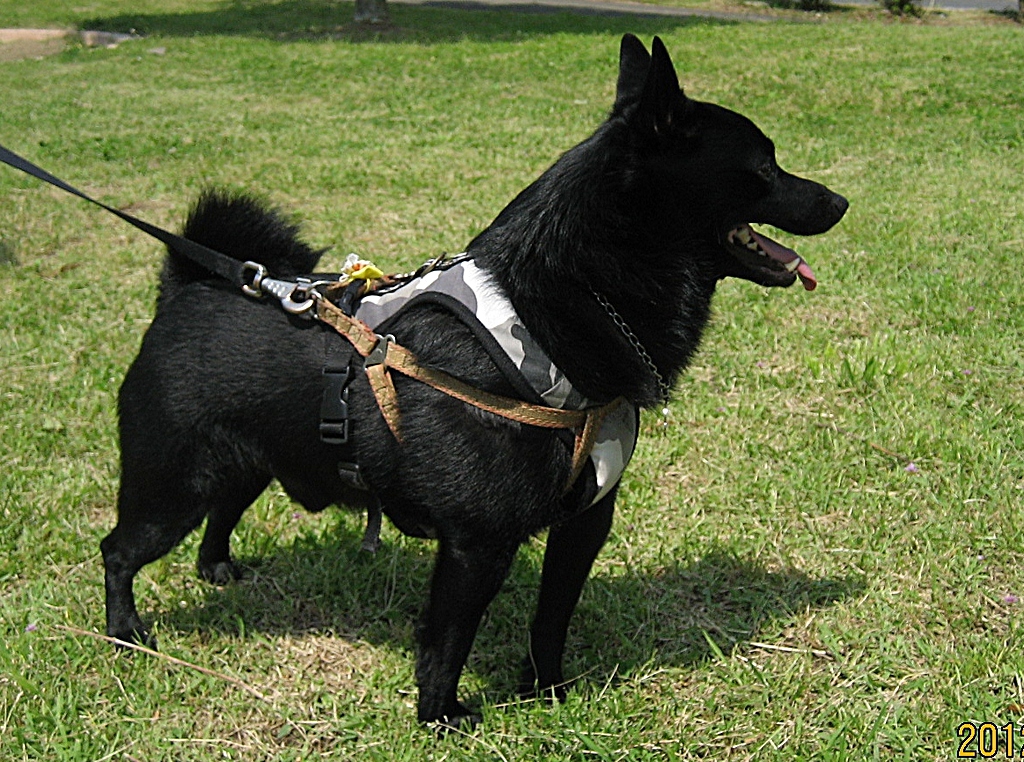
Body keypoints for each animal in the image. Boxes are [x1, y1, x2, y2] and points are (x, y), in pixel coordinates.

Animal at [99, 34, 847, 725]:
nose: (840, 200)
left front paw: (547, 692)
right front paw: (440, 716)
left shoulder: (585, 522)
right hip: (170, 486)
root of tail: (189, 287)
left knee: (222, 511)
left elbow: (551, 620)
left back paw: (216, 569)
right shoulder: (477, 545)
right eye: (765, 166)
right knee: (118, 550)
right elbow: (448, 640)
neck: (556, 304)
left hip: (245, 463)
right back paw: (126, 633)